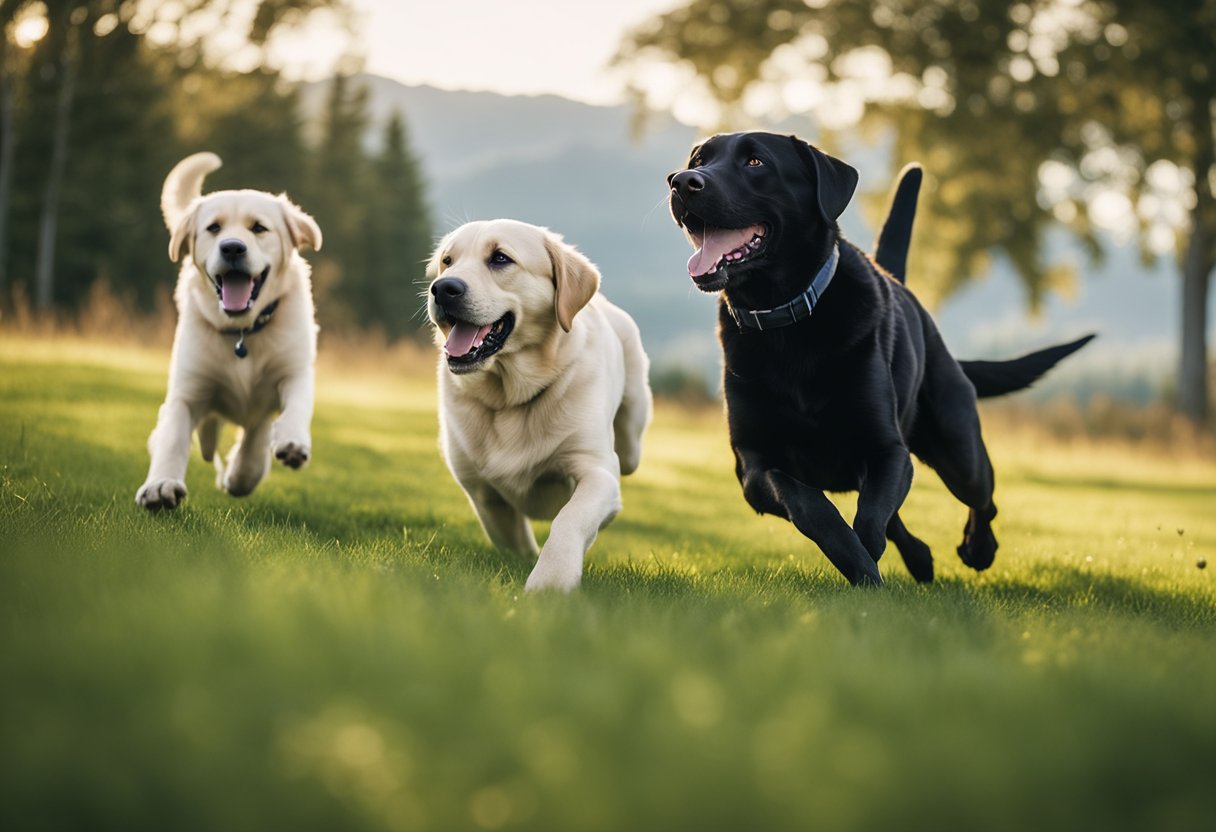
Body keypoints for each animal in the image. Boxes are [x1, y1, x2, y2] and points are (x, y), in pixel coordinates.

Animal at [136, 152, 323, 510]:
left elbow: (295, 406)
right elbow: (172, 437)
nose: (233, 248)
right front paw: (161, 485)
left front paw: (291, 442)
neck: (242, 334)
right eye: (214, 228)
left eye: (259, 228)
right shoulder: (187, 390)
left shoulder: (294, 370)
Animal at [430, 217, 656, 588]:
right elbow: (515, 541)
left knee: (628, 453)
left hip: (633, 429)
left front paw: (551, 579)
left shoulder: (598, 472)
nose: (442, 288)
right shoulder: (481, 492)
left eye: (500, 258)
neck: (509, 397)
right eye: (447, 261)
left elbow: (570, 517)